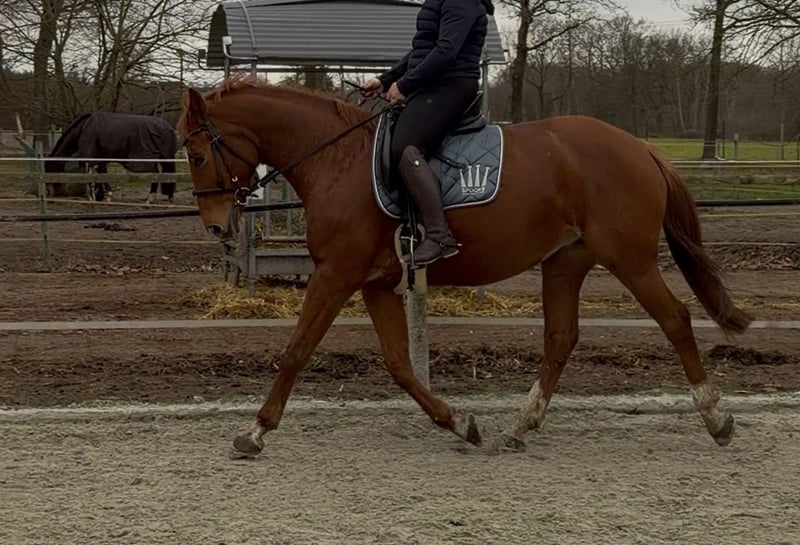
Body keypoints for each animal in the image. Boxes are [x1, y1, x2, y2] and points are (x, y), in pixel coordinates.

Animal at [45, 111, 180, 203]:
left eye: (48, 169)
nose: (47, 191)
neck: (83, 129)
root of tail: (167, 127)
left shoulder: (91, 158)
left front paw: (98, 197)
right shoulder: (100, 159)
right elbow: (101, 175)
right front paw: (101, 196)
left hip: (145, 161)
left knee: (155, 174)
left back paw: (150, 199)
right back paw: (168, 197)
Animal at [178, 76, 751, 456]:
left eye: (198, 154)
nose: (216, 227)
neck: (337, 161)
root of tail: (641, 147)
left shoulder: (336, 275)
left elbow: (297, 350)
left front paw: (255, 431)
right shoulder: (376, 284)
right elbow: (400, 365)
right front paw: (459, 423)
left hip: (628, 258)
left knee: (675, 319)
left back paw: (717, 418)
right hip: (565, 262)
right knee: (560, 338)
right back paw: (520, 426)